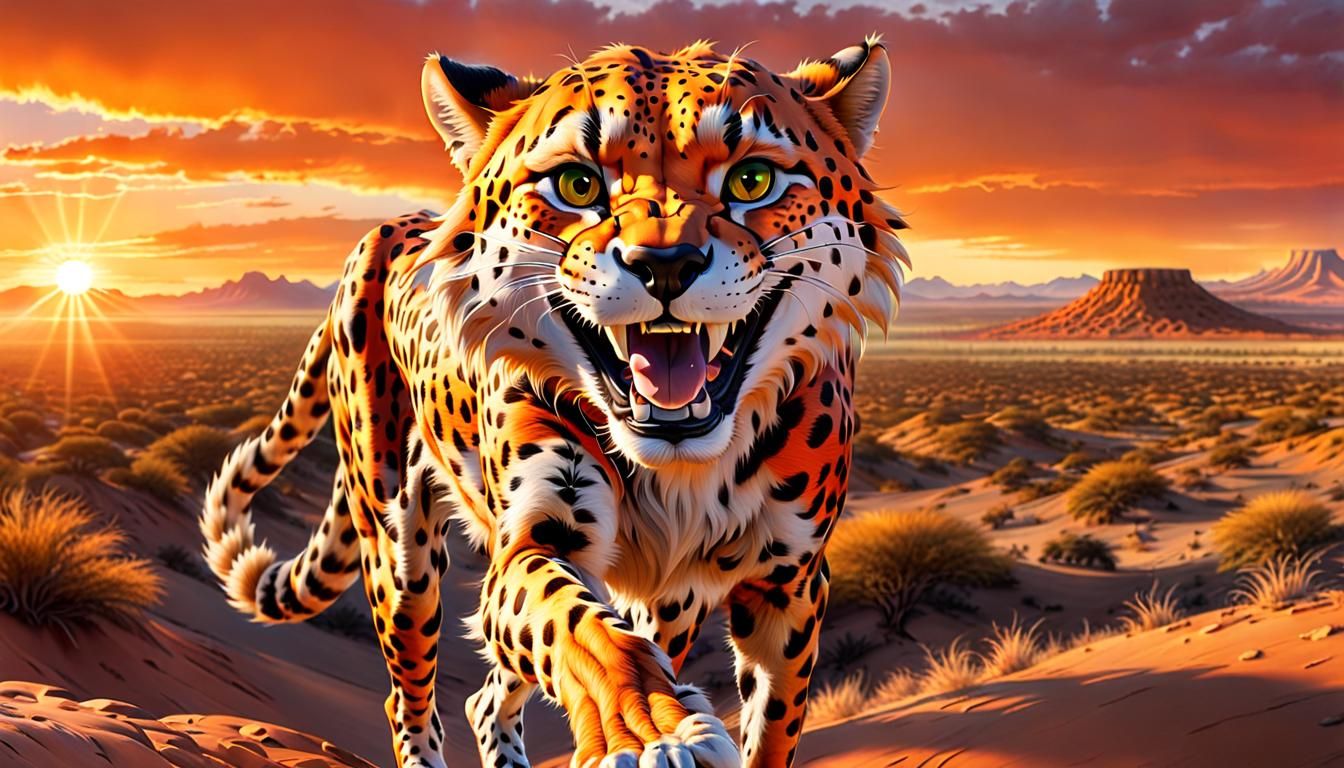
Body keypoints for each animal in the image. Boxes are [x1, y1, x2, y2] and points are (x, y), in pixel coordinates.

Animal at [201, 37, 907, 768]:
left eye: (752, 180)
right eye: (577, 185)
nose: (666, 266)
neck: (681, 472)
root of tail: (388, 229)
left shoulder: (790, 587)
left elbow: (770, 728)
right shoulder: (537, 536)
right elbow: (582, 630)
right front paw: (652, 733)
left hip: (672, 602)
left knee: (491, 697)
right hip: (398, 551)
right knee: (412, 695)